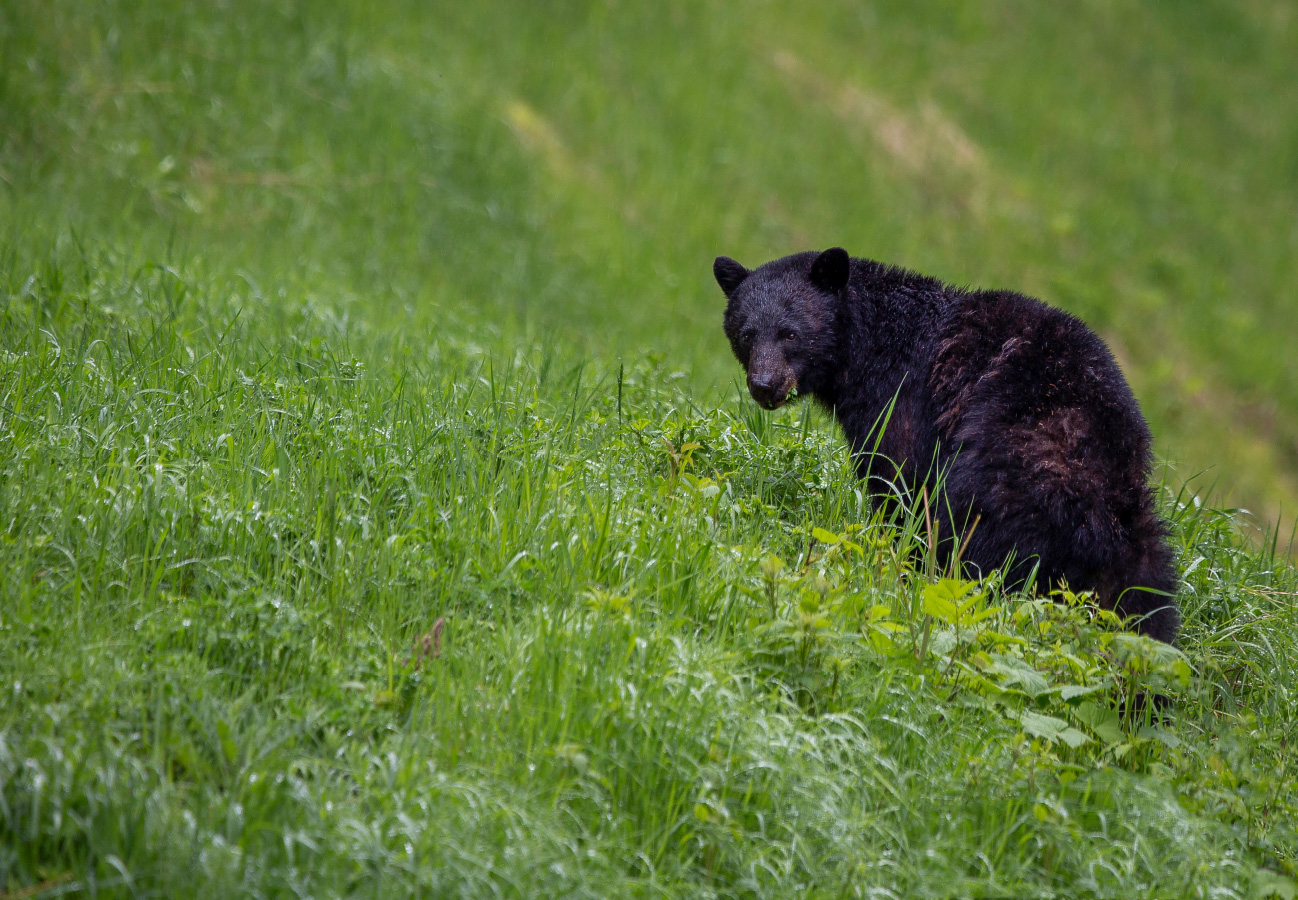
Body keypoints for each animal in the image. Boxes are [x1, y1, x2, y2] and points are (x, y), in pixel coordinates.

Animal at [714, 247, 1180, 644]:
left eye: (790, 333)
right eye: (747, 334)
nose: (764, 385)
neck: (868, 345)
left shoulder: (902, 401)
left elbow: (899, 483)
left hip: (1003, 474)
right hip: (1140, 542)